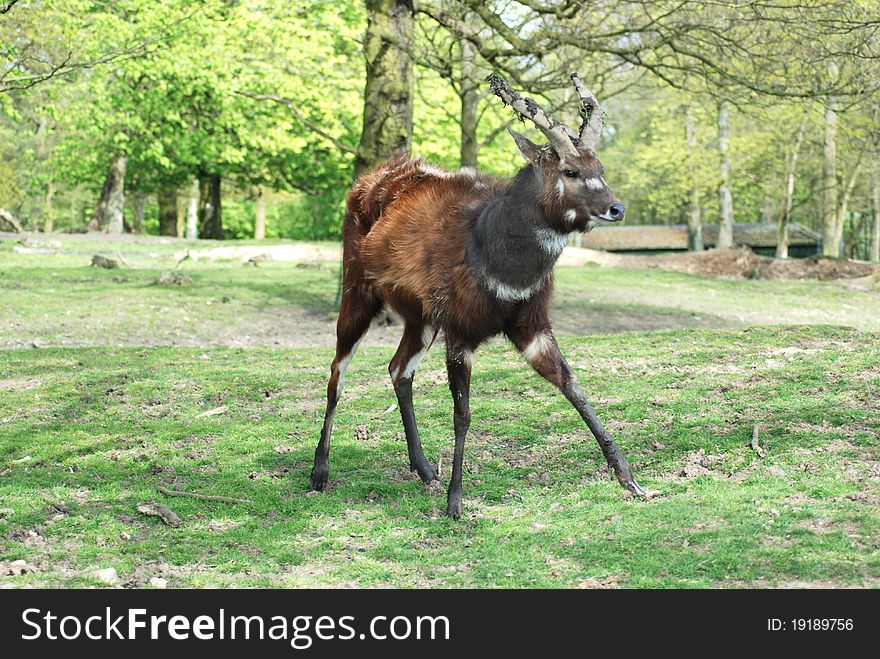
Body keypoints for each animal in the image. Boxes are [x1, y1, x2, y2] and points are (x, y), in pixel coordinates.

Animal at [308, 71, 648, 516]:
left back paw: (424, 470)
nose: (616, 209)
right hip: (358, 296)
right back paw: (319, 474)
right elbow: (463, 413)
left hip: (419, 320)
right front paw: (455, 503)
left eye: (600, 168)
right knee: (337, 373)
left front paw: (629, 479)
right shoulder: (460, 336)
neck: (491, 242)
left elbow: (574, 387)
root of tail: (367, 182)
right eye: (570, 170)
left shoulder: (532, 330)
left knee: (398, 370)